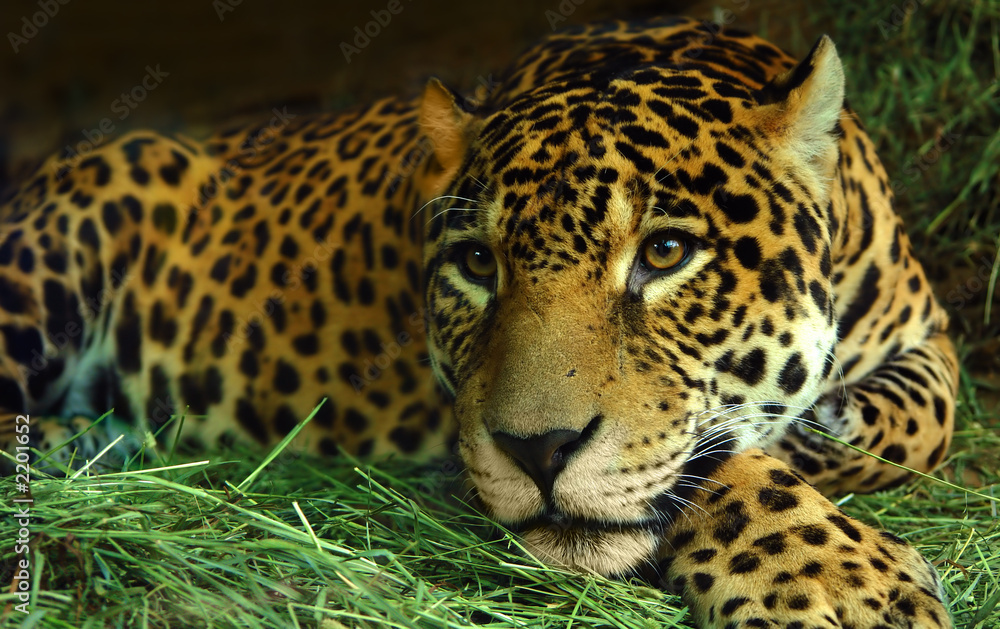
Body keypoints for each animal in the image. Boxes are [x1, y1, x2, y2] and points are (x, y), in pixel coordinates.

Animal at [0, 15, 959, 629]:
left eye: (666, 251)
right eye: (476, 264)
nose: (539, 451)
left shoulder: (929, 338)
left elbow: (914, 425)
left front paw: (827, 440)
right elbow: (717, 463)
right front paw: (839, 580)